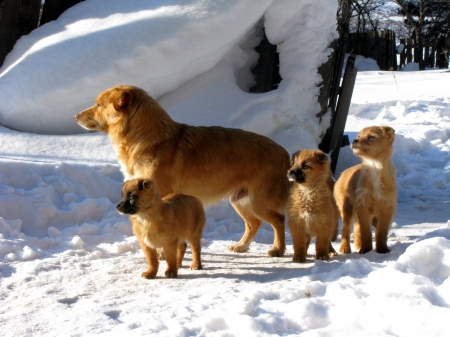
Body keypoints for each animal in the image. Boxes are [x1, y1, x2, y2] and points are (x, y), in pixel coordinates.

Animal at [75, 85, 290, 256]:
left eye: (98, 105)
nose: (75, 116)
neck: (147, 138)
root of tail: (284, 152)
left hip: (258, 201)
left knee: (278, 220)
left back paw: (278, 249)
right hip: (240, 200)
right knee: (254, 223)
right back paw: (241, 246)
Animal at [334, 124, 398, 253]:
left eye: (371, 137)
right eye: (359, 136)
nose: (354, 140)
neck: (375, 165)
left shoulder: (387, 207)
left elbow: (381, 232)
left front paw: (382, 250)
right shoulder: (362, 205)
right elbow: (365, 231)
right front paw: (366, 249)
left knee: (356, 226)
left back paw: (358, 245)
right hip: (346, 208)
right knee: (346, 230)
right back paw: (345, 248)